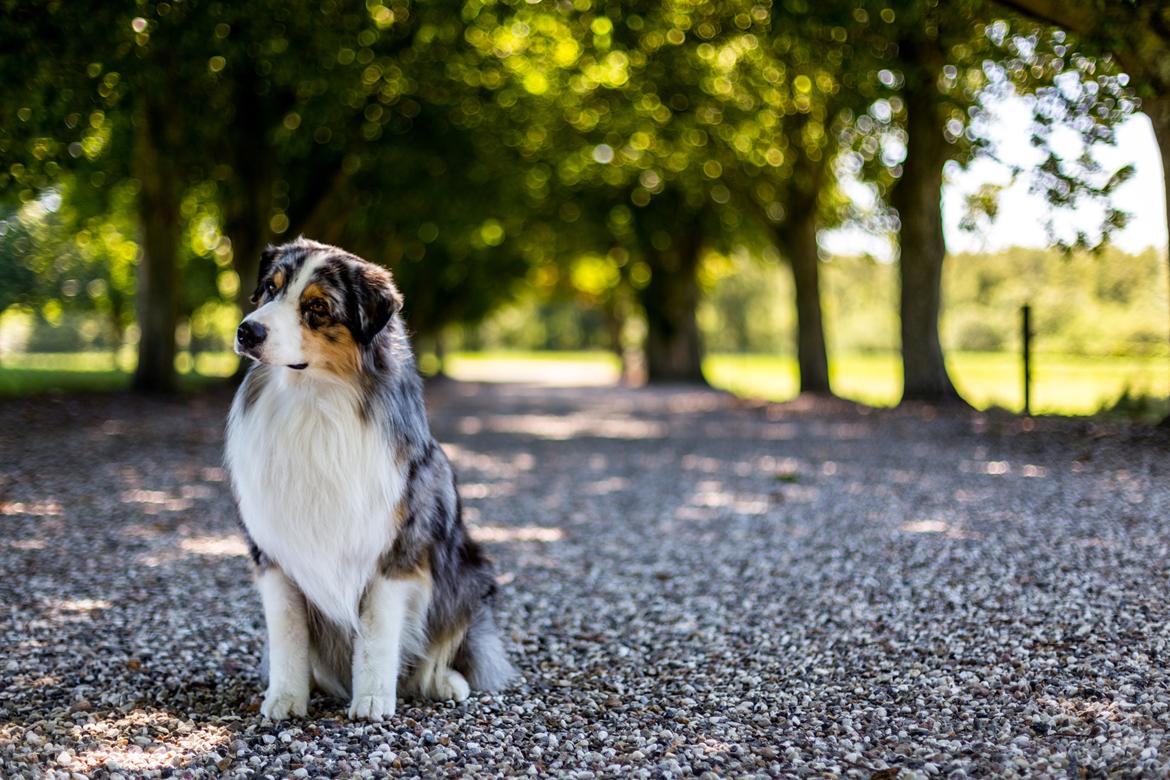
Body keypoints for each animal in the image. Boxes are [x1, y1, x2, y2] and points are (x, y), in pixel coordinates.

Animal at [223, 236, 512, 720]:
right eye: (270, 289)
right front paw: (285, 698)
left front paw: (373, 700)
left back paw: (445, 682)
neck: (313, 404)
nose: (247, 332)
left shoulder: (395, 553)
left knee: (444, 650)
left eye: (316, 307)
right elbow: (287, 636)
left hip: (470, 577)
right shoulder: (275, 555)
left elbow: (377, 635)